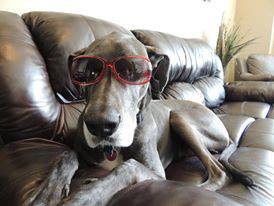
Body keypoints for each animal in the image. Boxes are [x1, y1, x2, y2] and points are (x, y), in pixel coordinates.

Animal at [6, 31, 255, 205]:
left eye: (133, 72)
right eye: (87, 73)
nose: (101, 126)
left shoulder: (155, 172)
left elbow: (128, 167)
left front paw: (84, 196)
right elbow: (66, 155)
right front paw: (47, 193)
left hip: (179, 118)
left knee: (219, 172)